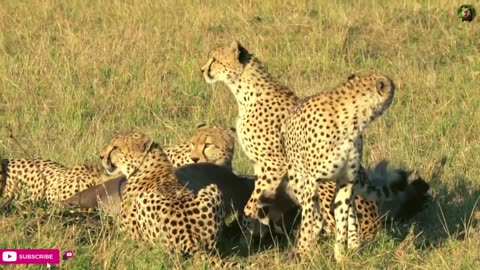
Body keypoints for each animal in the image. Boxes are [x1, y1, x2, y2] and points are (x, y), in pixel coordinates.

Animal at [99, 132, 236, 266]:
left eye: (115, 148)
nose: (100, 156)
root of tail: (191, 240)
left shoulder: (127, 231)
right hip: (213, 188)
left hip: (144, 200)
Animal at [284, 70, 396, 260]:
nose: (395, 86)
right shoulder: (311, 182)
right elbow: (308, 220)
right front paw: (304, 251)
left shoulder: (346, 181)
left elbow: (342, 220)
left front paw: (341, 256)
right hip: (297, 180)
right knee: (315, 215)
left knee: (349, 215)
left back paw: (354, 245)